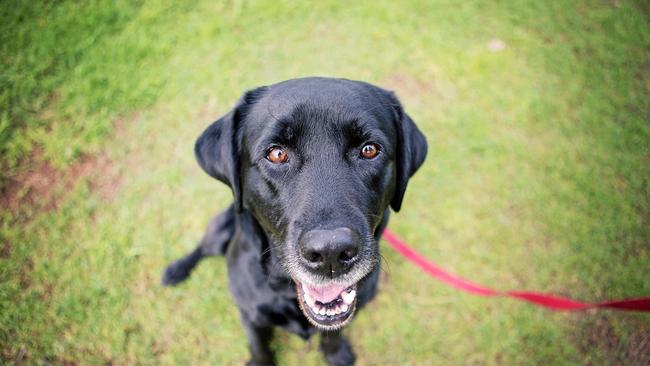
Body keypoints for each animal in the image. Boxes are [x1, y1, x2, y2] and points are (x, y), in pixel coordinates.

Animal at [161, 76, 426, 364]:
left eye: (369, 150)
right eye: (276, 154)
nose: (331, 253)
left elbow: (333, 331)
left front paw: (336, 353)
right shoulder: (251, 315)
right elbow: (259, 347)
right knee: (201, 248)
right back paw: (176, 270)